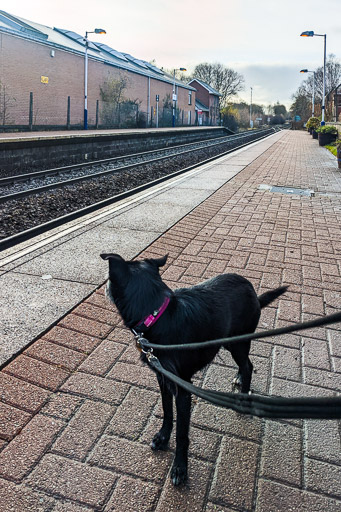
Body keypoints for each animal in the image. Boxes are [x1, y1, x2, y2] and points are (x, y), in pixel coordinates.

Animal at [99, 254, 286, 486]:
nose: (104, 287)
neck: (158, 316)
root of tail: (250, 288)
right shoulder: (163, 379)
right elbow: (167, 411)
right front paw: (163, 437)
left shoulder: (183, 390)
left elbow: (182, 433)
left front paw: (180, 468)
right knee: (245, 366)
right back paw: (240, 379)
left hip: (238, 343)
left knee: (248, 366)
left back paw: (243, 398)